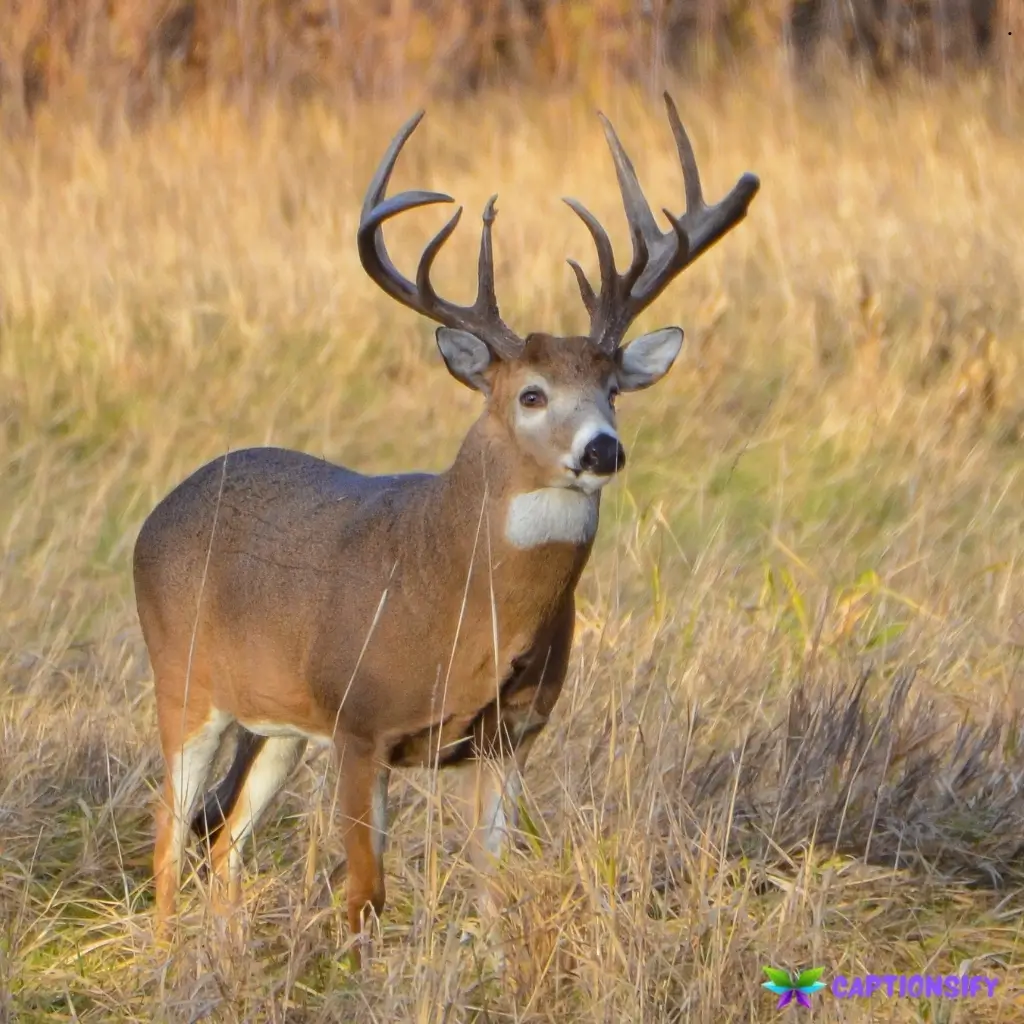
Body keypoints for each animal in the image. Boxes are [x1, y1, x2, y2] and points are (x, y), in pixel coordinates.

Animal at [133, 92, 759, 964]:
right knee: (168, 830)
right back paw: (163, 958)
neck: (461, 597)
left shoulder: (509, 739)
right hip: (184, 679)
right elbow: (366, 896)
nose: (602, 449)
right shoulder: (361, 724)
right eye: (531, 393)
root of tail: (160, 511)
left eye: (613, 388)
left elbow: (494, 886)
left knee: (222, 841)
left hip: (277, 724)